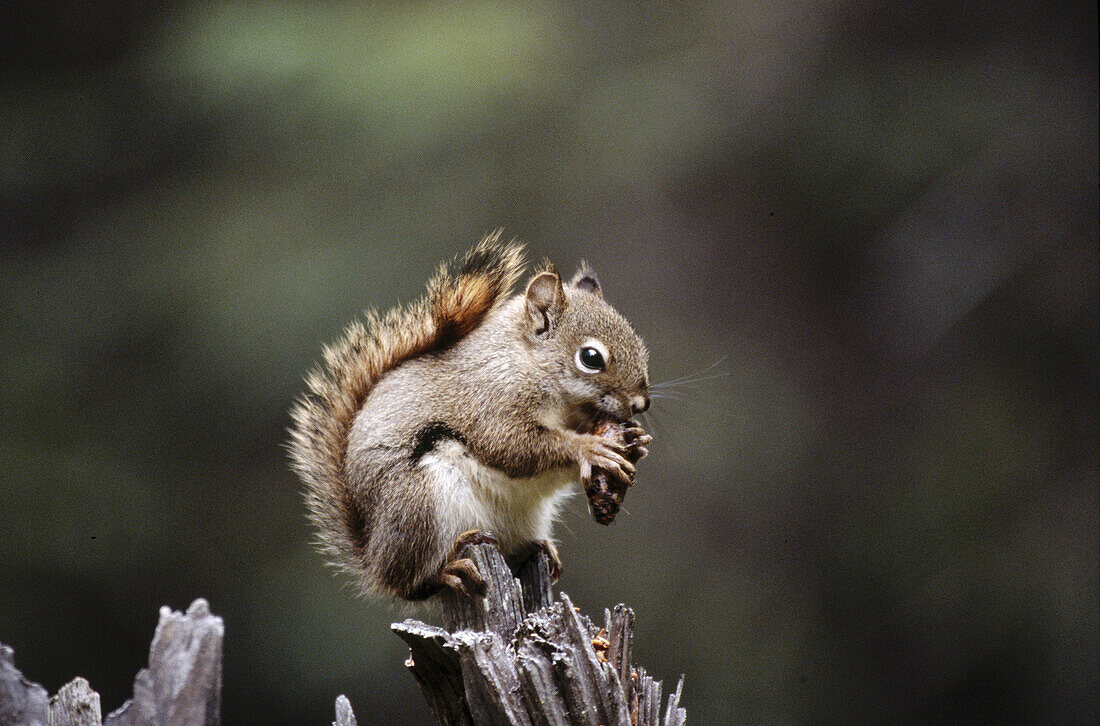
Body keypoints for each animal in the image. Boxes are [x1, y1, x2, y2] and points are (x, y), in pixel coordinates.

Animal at [290, 232, 651, 602]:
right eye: (591, 357)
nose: (641, 404)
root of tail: (372, 556)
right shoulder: (489, 400)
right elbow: (513, 446)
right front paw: (589, 448)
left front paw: (635, 442)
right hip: (417, 505)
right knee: (411, 584)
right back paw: (446, 569)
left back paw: (541, 550)